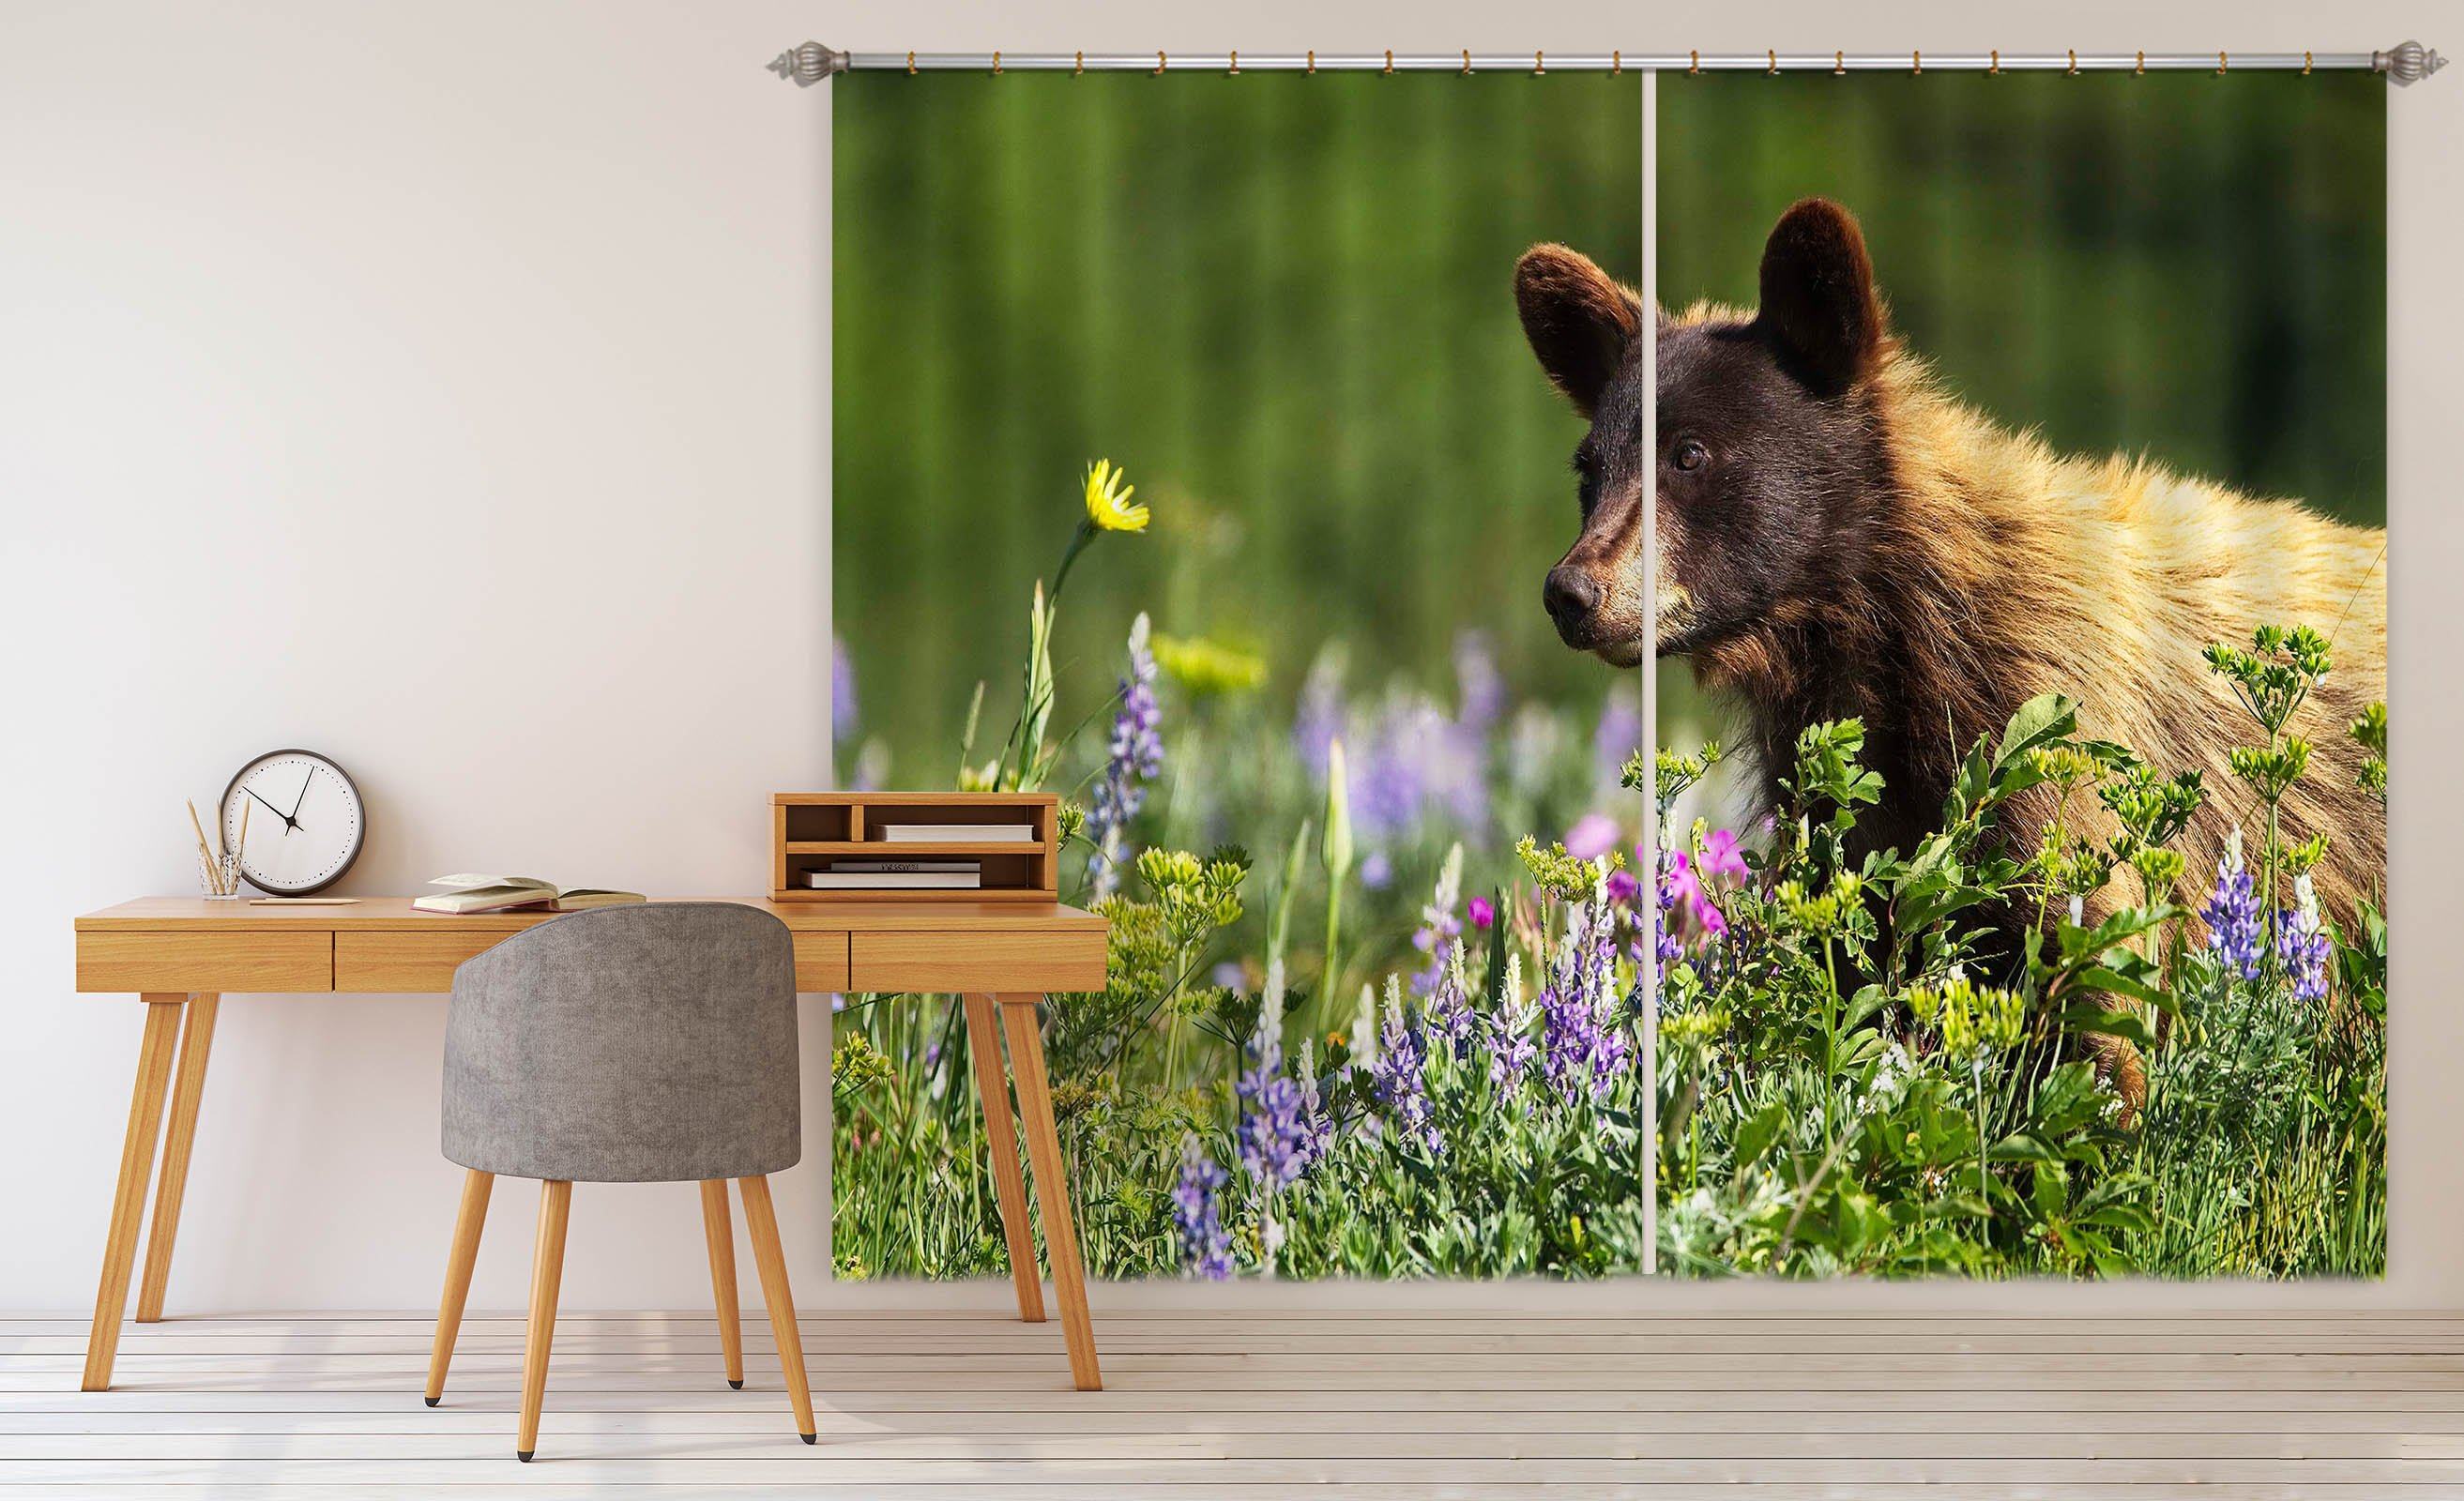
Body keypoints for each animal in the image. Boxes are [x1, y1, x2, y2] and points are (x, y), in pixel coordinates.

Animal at [1514, 197, 2386, 1102]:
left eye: (1689, 453)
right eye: (1589, 468)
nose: (1572, 593)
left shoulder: (2063, 747)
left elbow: (2101, 990)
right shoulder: (1854, 805)